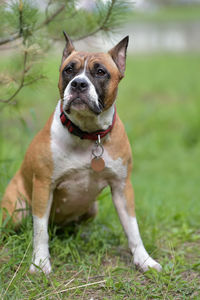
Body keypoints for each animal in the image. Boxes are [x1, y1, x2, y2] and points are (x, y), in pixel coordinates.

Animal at [0, 32, 162, 274]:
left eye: (101, 72)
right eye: (69, 70)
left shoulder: (122, 187)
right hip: (16, 210)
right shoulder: (43, 186)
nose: (78, 83)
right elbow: (40, 231)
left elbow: (133, 228)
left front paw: (144, 260)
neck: (88, 135)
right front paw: (40, 263)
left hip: (91, 208)